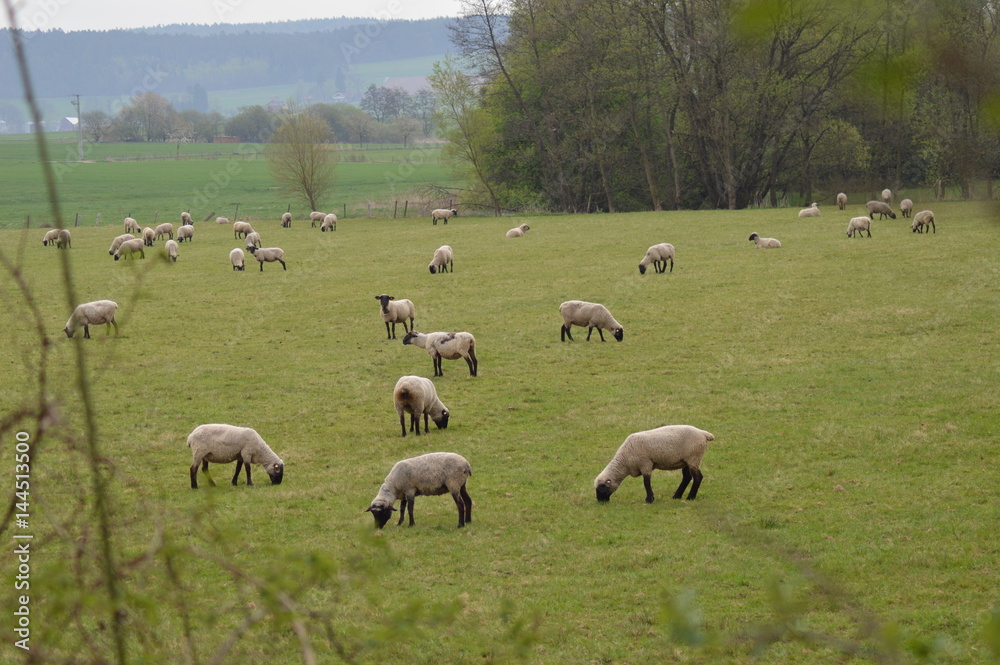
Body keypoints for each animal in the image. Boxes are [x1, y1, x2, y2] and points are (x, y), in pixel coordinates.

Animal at [588, 426, 716, 504]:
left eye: (602, 487)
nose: (600, 501)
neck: (624, 462)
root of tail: (704, 434)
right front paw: (650, 498)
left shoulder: (645, 463)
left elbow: (646, 482)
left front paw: (649, 499)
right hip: (686, 460)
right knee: (687, 477)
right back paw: (677, 496)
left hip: (694, 457)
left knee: (698, 477)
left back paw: (690, 497)